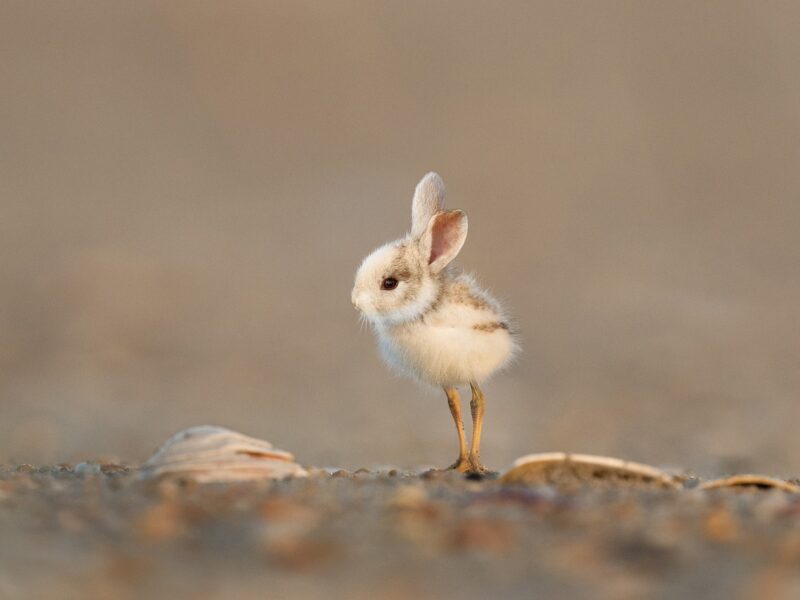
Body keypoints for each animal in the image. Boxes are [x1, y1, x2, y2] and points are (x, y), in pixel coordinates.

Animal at [351, 172, 518, 474]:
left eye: (389, 283)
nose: (355, 302)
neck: (423, 309)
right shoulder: (445, 376)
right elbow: (453, 404)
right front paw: (459, 462)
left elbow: (475, 402)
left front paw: (471, 463)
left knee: (479, 400)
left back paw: (476, 462)